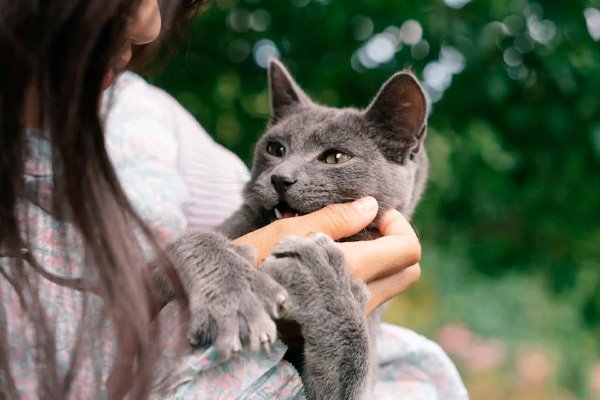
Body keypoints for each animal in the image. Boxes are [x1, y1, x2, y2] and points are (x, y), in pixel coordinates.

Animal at [152, 60, 428, 400]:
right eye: (275, 148)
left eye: (336, 157)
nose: (280, 178)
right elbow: (196, 242)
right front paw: (236, 296)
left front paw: (322, 280)